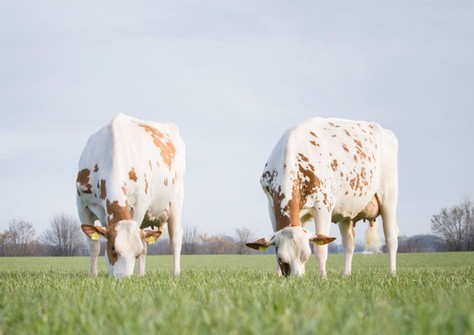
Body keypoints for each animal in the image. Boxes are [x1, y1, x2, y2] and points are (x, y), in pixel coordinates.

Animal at [76, 114, 185, 280]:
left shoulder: (140, 205)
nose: (124, 279)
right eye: (113, 248)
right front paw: (92, 275)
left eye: (135, 254)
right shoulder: (82, 204)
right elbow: (93, 245)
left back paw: (176, 274)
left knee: (175, 240)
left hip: (176, 202)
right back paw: (141, 274)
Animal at [246, 118, 398, 278]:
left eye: (306, 256)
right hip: (346, 210)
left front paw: (323, 277)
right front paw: (278, 276)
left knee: (391, 238)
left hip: (389, 196)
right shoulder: (271, 205)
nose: (296, 279)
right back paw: (346, 275)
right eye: (282, 259)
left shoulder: (323, 207)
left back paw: (392, 273)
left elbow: (320, 249)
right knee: (349, 243)